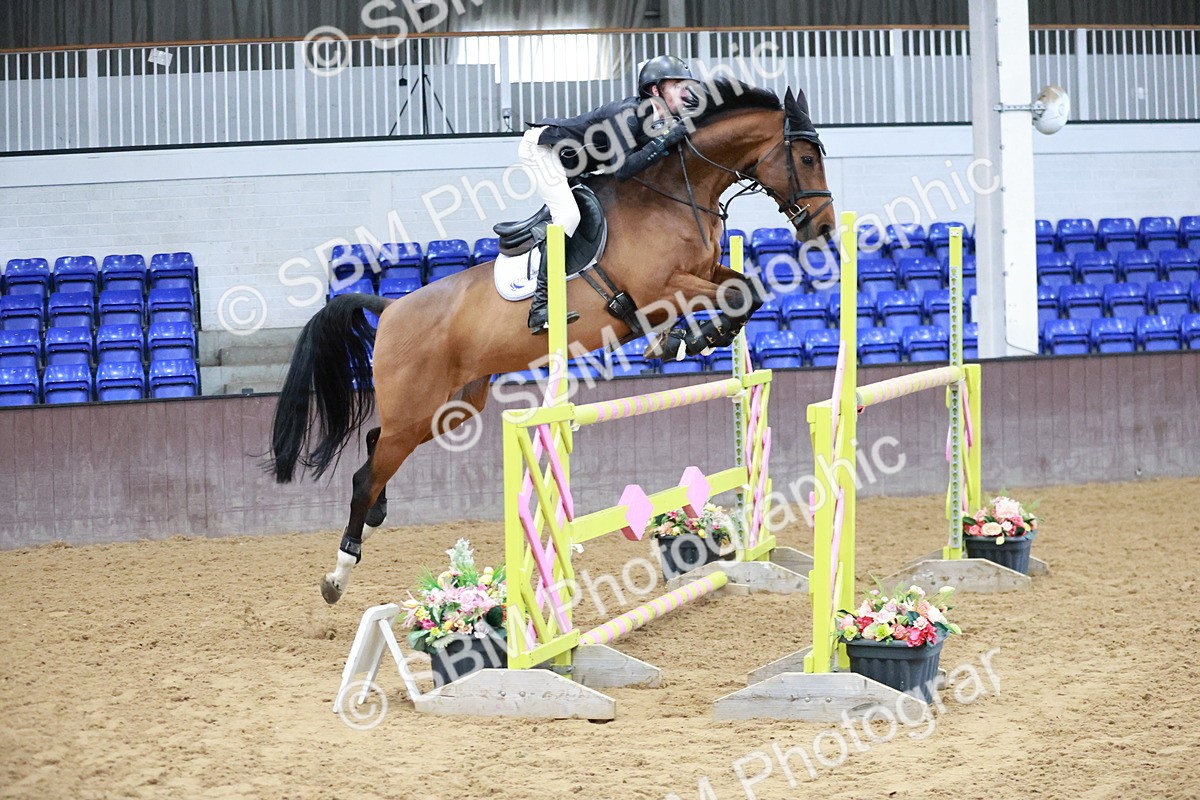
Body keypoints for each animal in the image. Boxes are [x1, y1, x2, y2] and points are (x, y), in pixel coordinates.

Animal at [270, 80, 837, 604]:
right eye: (807, 158)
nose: (826, 229)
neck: (676, 193)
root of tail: (391, 309)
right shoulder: (660, 289)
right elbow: (735, 293)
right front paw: (684, 339)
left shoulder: (702, 274)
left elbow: (747, 289)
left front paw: (688, 340)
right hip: (418, 408)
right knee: (365, 475)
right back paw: (338, 573)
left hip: (451, 409)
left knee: (375, 444)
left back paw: (378, 515)